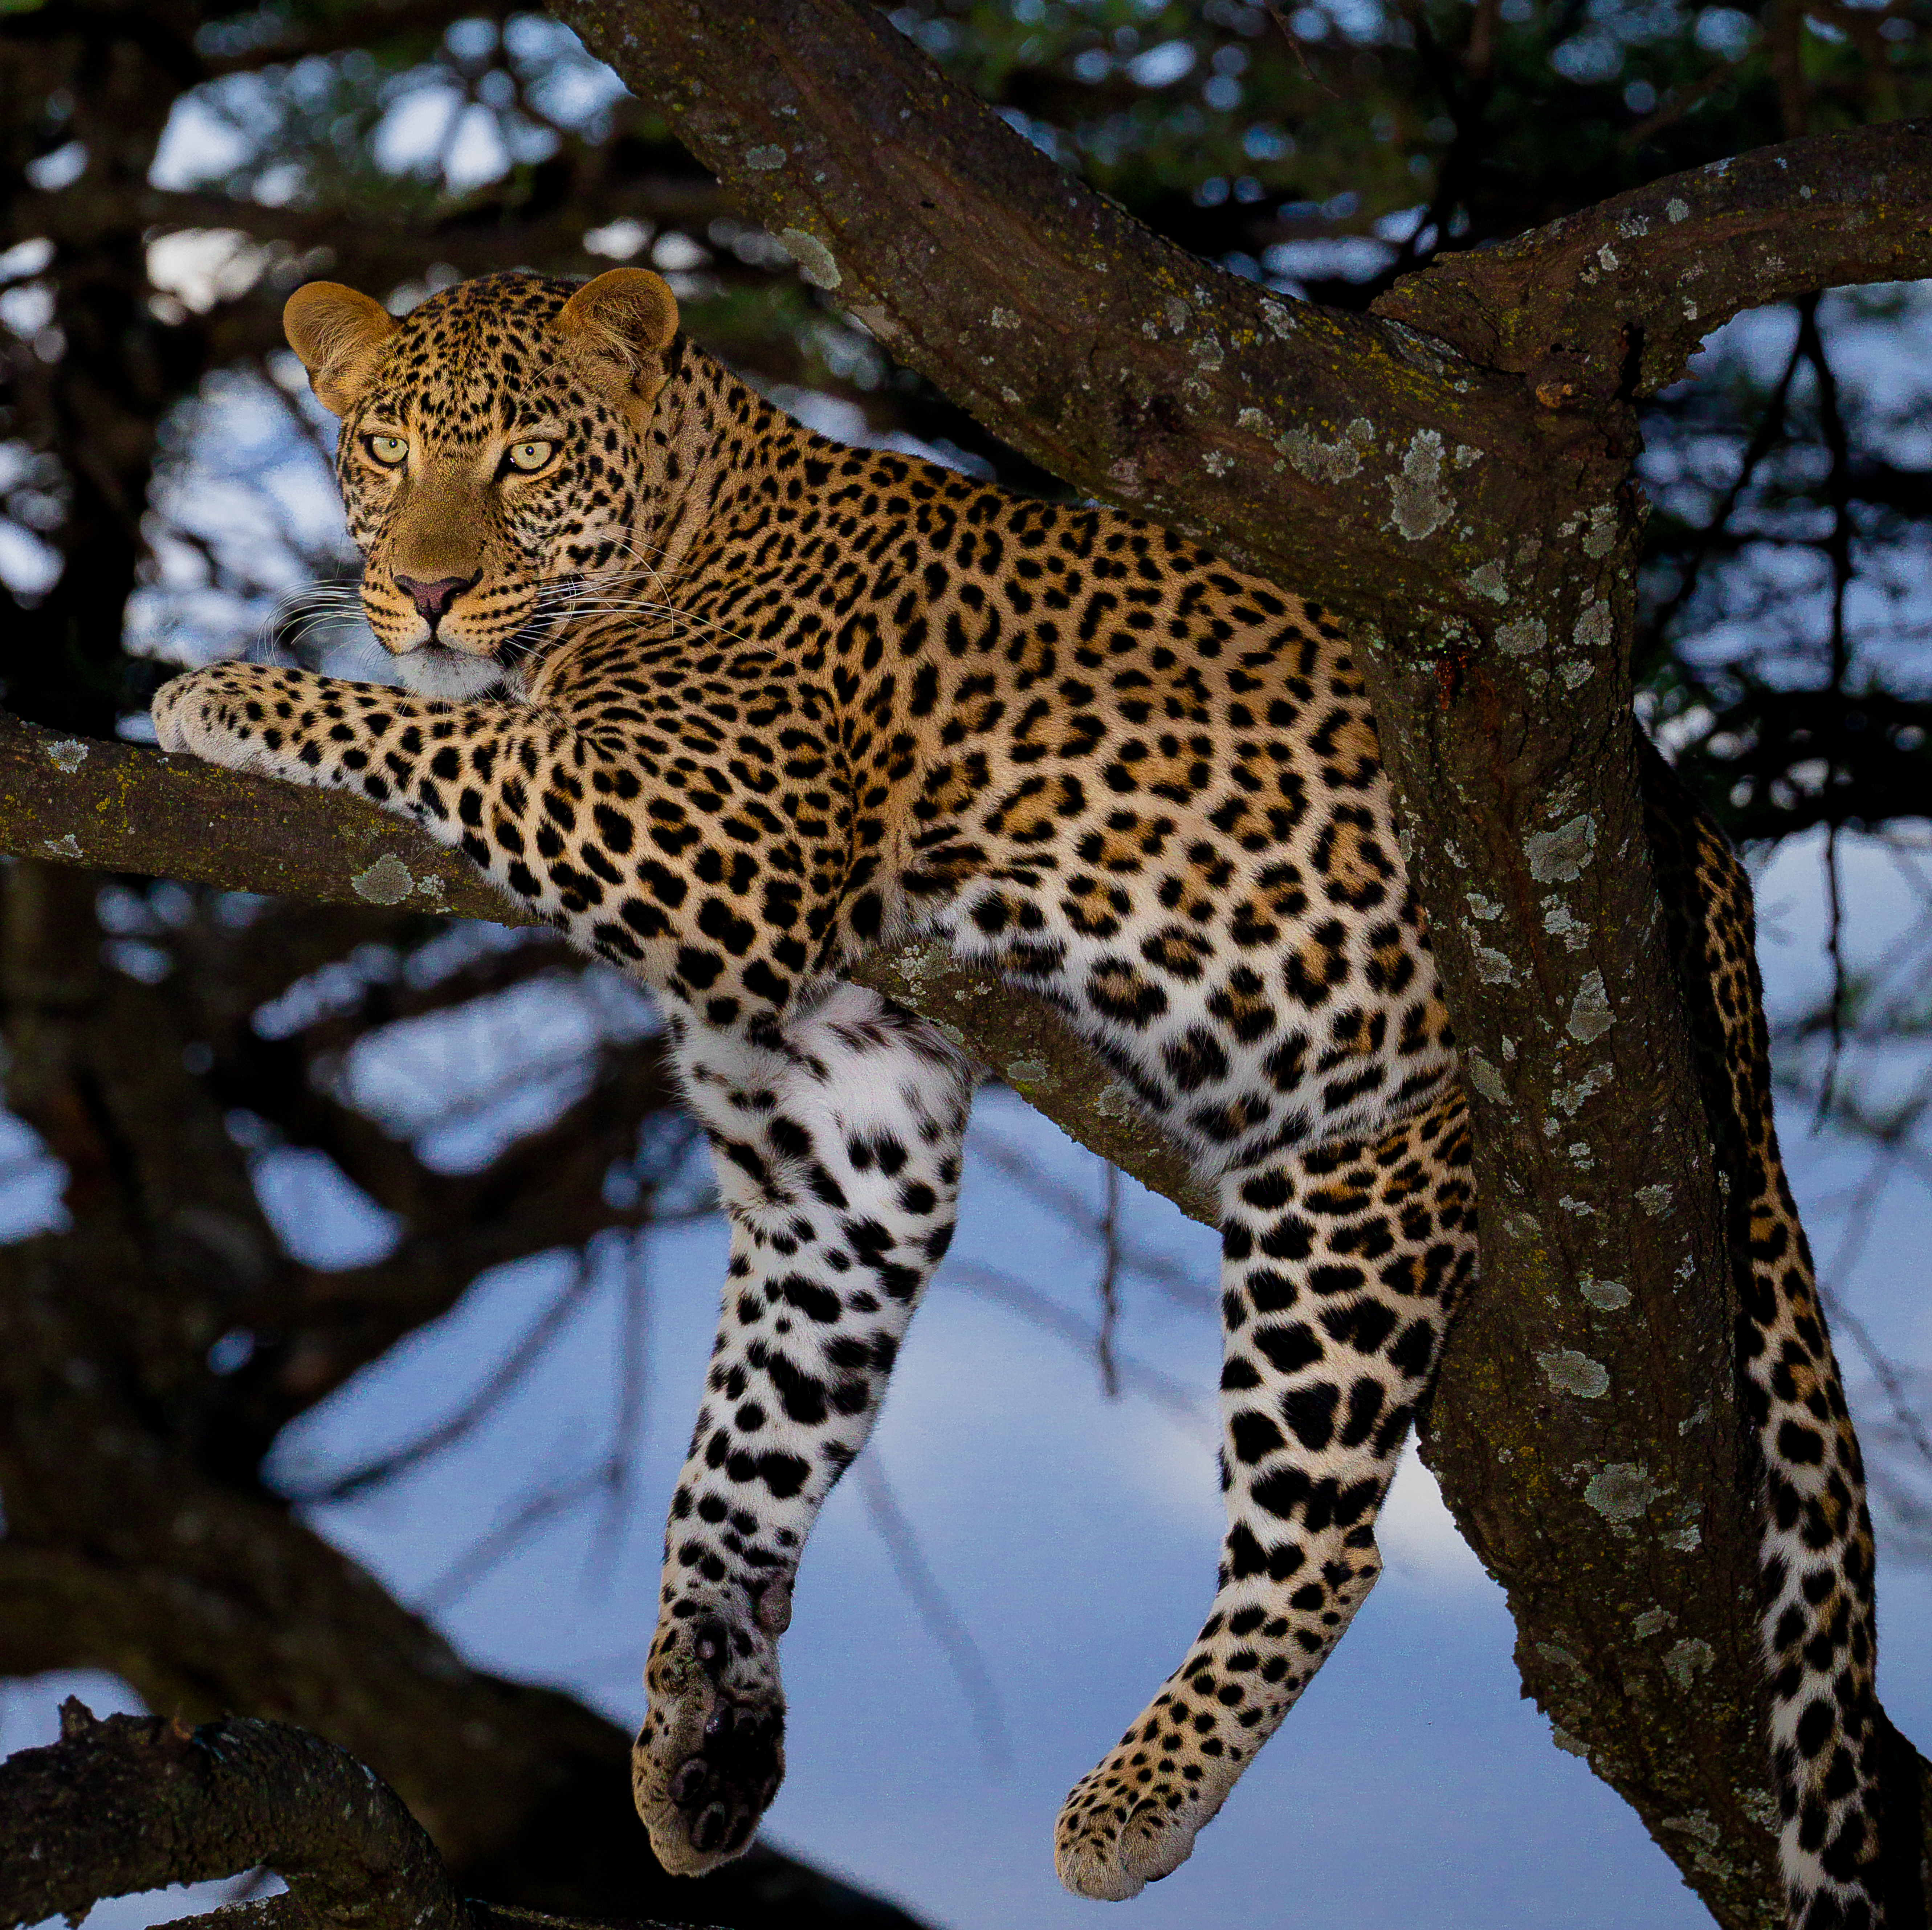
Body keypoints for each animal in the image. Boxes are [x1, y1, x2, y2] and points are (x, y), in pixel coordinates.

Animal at [151, 266, 1884, 1929]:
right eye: (384, 449)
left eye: (522, 456)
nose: (430, 586)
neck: (684, 514)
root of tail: (1705, 885)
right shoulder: (844, 1125)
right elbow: (739, 1449)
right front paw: (699, 1722)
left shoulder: (707, 829)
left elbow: (447, 738)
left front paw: (223, 696)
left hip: (1355, 1177)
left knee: (1323, 1537)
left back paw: (1134, 1795)